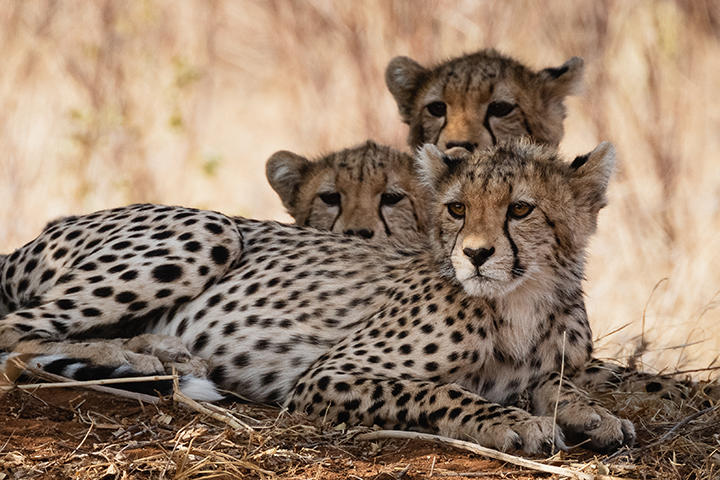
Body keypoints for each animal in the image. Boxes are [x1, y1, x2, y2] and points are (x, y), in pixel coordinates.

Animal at [0, 139, 632, 454]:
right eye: (456, 209)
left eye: (520, 209)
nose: (475, 255)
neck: (525, 298)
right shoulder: (328, 375)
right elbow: (443, 392)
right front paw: (511, 423)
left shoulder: (547, 365)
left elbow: (560, 384)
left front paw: (596, 414)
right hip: (210, 228)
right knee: (17, 338)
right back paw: (143, 363)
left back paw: (162, 354)